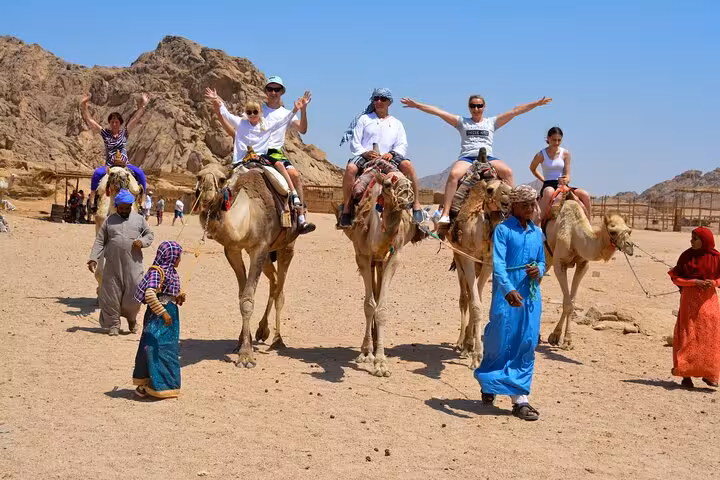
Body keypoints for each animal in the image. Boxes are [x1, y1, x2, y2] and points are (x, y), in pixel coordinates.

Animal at [195, 164, 299, 368]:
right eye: (198, 176)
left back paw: (278, 340)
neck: (248, 214)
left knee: (280, 289)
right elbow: (241, 296)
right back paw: (262, 331)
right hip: (268, 254)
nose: (206, 195)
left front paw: (245, 356)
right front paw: (242, 343)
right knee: (275, 282)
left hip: (287, 245)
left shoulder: (259, 248)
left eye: (222, 179)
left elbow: (248, 300)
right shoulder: (232, 249)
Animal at [336, 166, 423, 377]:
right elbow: (369, 305)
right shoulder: (362, 256)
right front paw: (367, 353)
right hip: (371, 259)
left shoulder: (394, 255)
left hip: (381, 260)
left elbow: (381, 308)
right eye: (388, 184)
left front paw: (381, 362)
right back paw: (370, 346)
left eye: (409, 181)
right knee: (372, 297)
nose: (407, 197)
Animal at [544, 192, 634, 349]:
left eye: (629, 231)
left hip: (547, 258)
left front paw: (563, 339)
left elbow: (571, 302)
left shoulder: (583, 265)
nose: (630, 246)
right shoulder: (559, 263)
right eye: (613, 231)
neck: (575, 234)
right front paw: (560, 338)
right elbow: (568, 303)